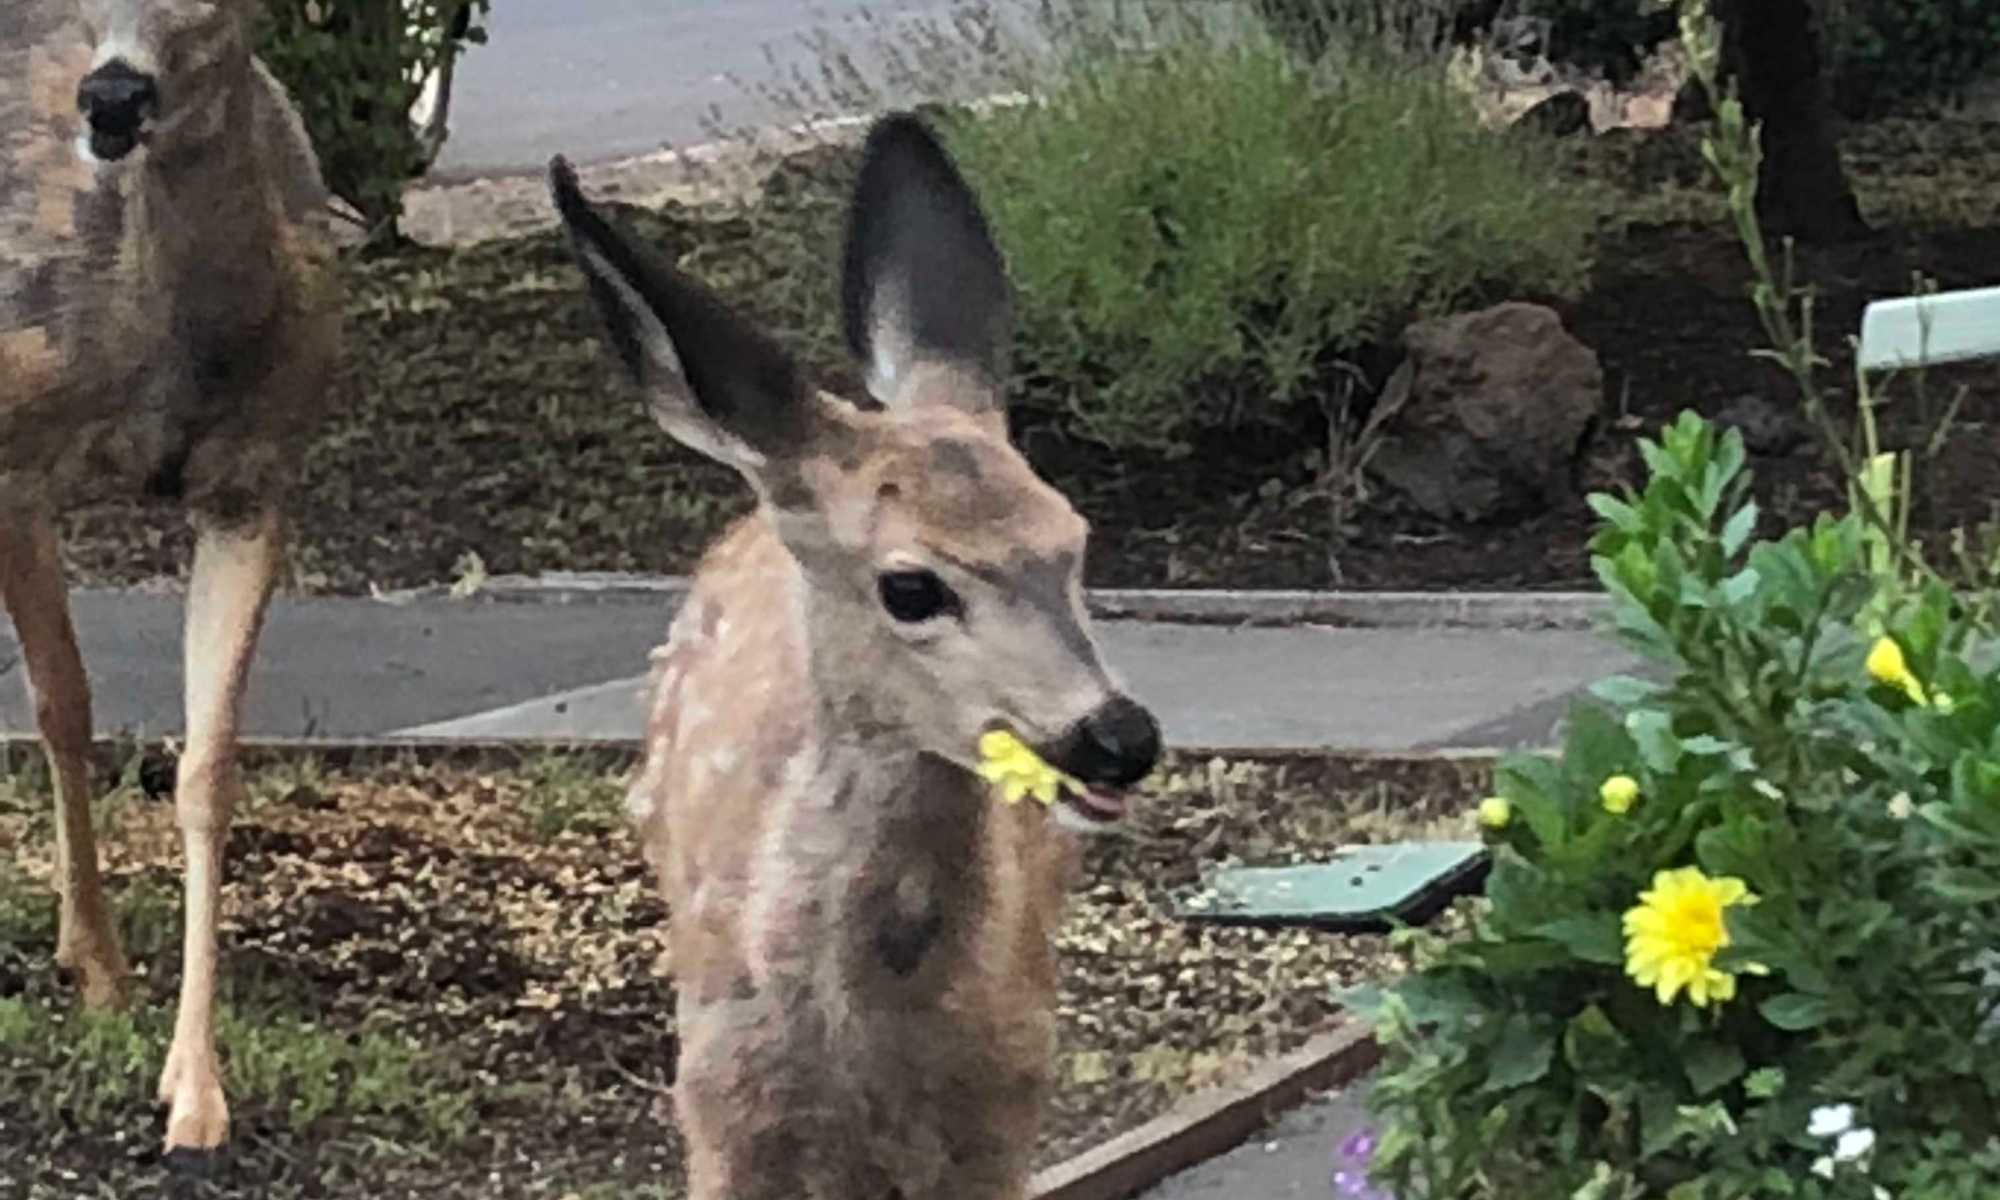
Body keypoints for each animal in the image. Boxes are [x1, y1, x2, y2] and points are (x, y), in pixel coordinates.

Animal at [1, 0, 340, 1157]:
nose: (110, 97)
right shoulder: (12, 456)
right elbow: (63, 702)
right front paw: (101, 968)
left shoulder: (254, 484)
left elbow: (207, 771)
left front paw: (194, 1091)